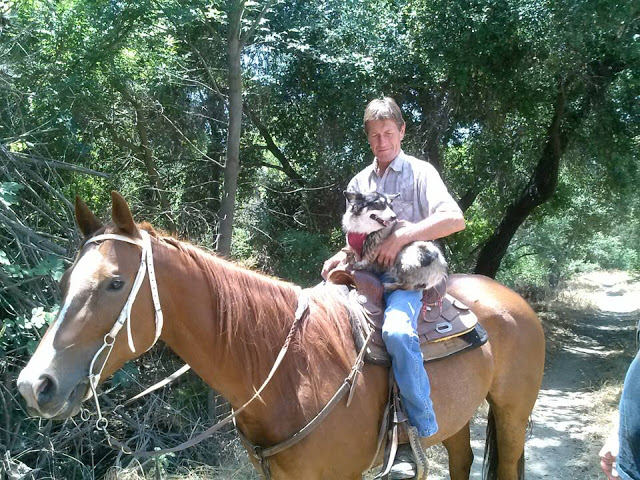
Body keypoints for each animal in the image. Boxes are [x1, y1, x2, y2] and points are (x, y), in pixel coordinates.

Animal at [17, 192, 545, 480]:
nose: (33, 385)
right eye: (65, 282)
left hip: (513, 415)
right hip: (457, 419)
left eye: (114, 283)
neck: (289, 368)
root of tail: (511, 299)